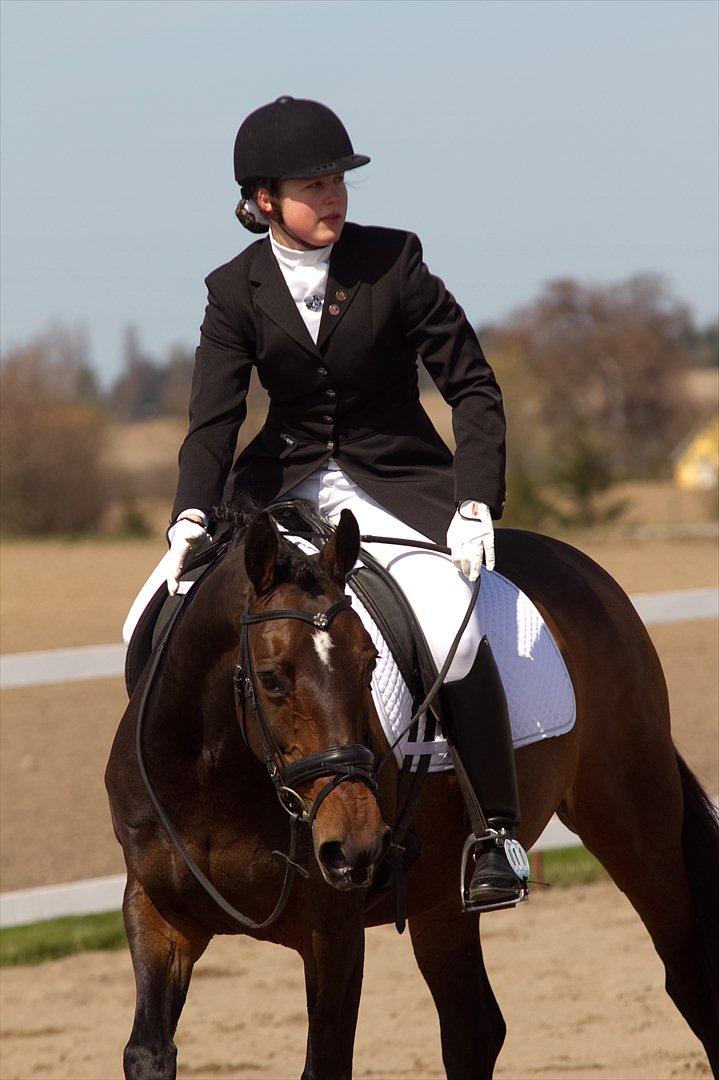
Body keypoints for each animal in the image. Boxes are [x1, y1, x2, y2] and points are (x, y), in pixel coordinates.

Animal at [106, 507, 716, 1080]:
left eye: (369, 663)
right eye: (272, 678)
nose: (355, 845)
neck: (219, 782)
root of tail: (584, 570)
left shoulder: (333, 931)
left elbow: (326, 1062)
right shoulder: (159, 914)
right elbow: (148, 1053)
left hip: (634, 821)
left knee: (690, 975)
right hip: (443, 892)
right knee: (473, 1028)